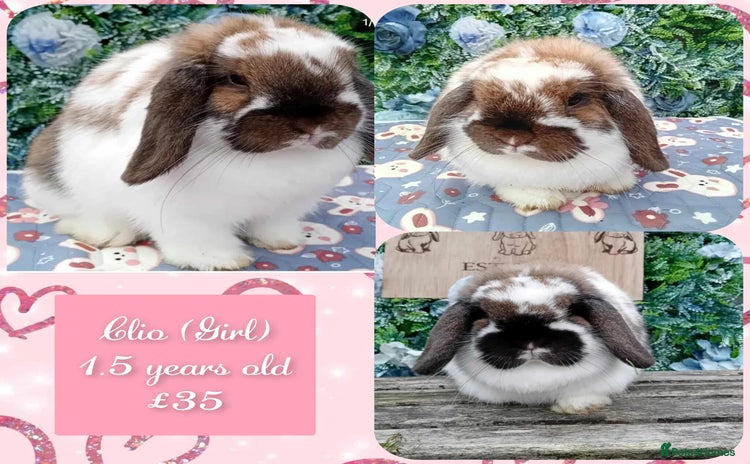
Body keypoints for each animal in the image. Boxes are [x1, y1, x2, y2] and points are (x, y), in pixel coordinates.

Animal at [23, 15, 373, 271]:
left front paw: (283, 242)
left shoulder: (283, 208)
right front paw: (220, 261)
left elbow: (272, 226)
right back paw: (107, 235)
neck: (274, 160)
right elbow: (199, 240)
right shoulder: (186, 217)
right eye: (236, 80)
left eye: (346, 74)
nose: (312, 124)